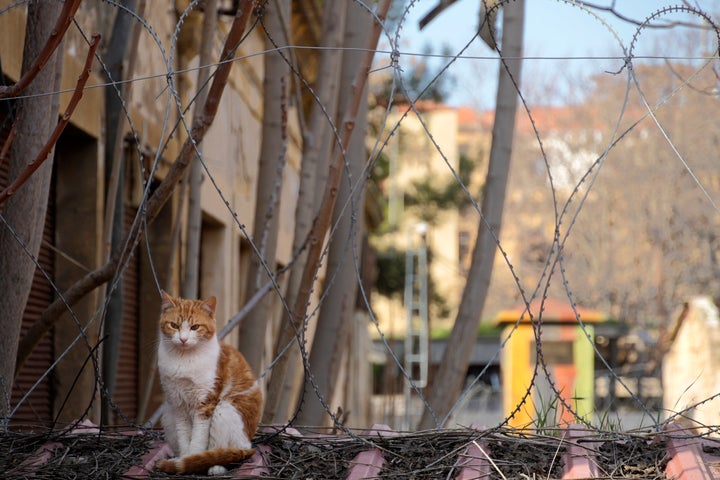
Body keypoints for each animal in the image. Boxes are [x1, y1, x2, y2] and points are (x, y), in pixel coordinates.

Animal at [155, 290, 264, 474]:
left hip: (224, 411)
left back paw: (215, 466)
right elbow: (184, 438)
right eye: (174, 325)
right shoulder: (178, 405)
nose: (183, 339)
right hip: (168, 416)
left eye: (195, 327)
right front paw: (184, 459)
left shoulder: (205, 404)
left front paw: (191, 461)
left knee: (223, 452)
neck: (184, 360)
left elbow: (198, 440)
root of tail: (249, 445)